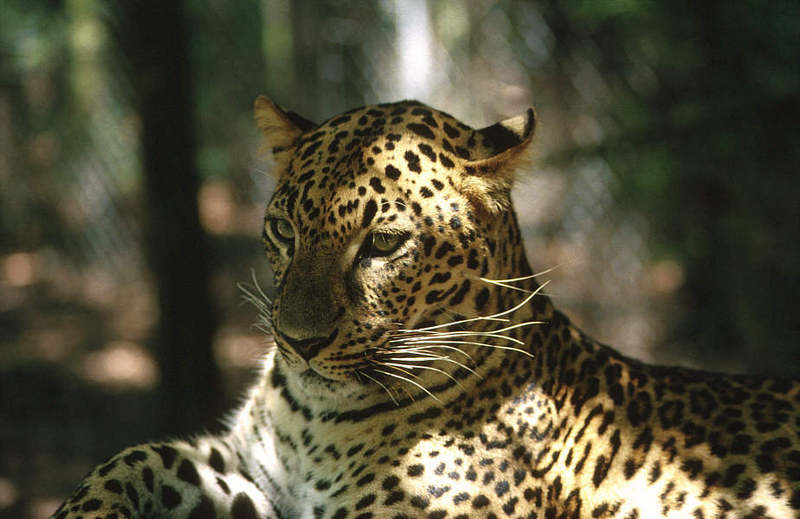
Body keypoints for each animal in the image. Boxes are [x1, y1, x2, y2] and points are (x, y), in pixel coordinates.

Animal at [53, 97, 796, 519]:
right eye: (285, 231)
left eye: (382, 244)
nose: (298, 343)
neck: (317, 419)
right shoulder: (257, 469)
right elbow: (143, 454)